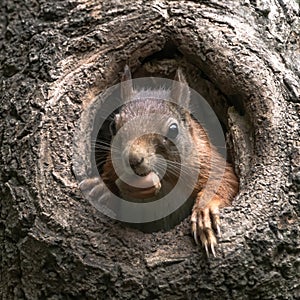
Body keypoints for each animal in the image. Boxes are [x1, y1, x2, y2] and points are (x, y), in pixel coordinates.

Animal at [80, 65, 239, 255]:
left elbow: (226, 181)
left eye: (173, 130)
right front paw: (102, 189)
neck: (166, 183)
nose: (133, 159)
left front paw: (204, 211)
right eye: (113, 126)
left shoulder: (207, 160)